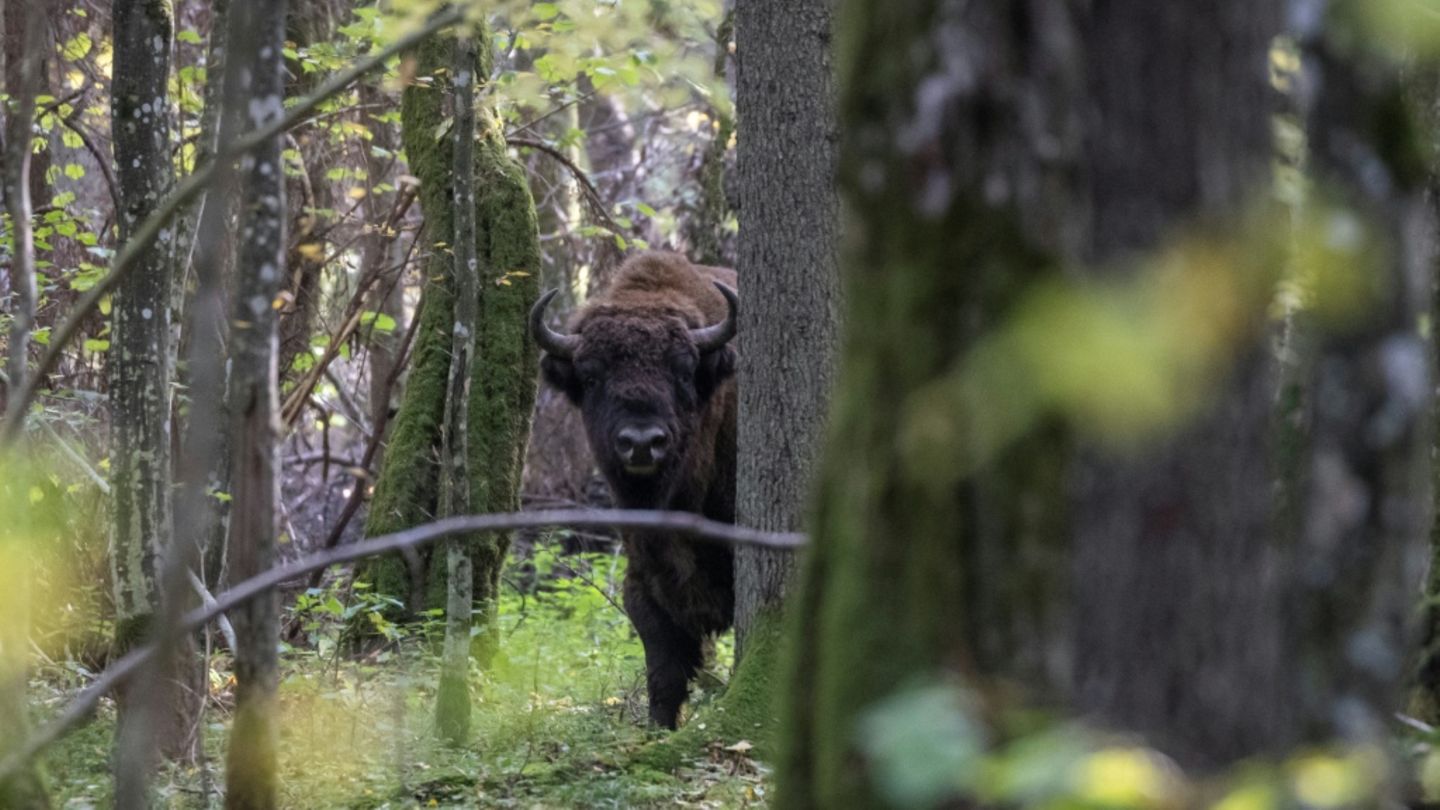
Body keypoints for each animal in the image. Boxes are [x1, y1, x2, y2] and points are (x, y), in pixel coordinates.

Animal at [531, 251, 739, 728]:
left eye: (684, 371)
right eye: (590, 377)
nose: (642, 443)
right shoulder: (645, 580)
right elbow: (664, 671)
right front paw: (659, 729)